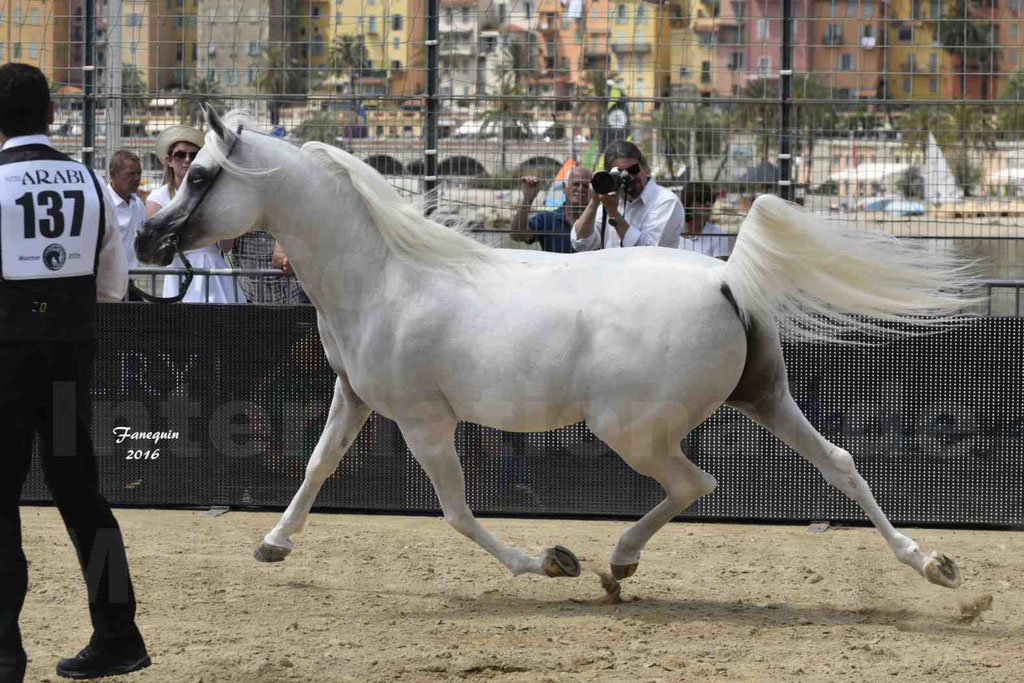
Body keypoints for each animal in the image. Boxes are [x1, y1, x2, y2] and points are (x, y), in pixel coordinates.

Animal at [138, 109, 974, 589]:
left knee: (696, 482)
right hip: (764, 398)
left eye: (201, 173)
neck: (384, 275)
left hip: (632, 429)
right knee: (839, 463)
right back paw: (932, 564)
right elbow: (316, 467)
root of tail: (729, 276)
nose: (148, 239)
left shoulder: (423, 420)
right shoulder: (355, 396)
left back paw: (616, 561)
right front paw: (272, 545)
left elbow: (455, 509)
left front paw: (545, 560)